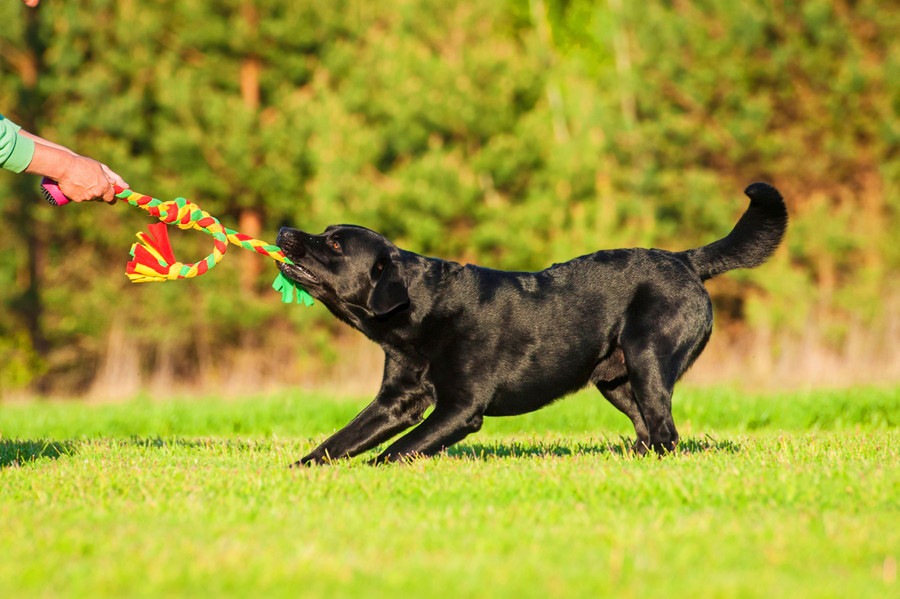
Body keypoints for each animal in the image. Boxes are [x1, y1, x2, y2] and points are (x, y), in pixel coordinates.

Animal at [276, 183, 788, 464]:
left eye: (335, 245)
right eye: (324, 233)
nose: (283, 230)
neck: (421, 312)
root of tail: (685, 260)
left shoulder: (461, 407)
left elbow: (397, 450)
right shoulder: (395, 402)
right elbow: (341, 440)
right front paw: (300, 470)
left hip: (648, 358)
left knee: (664, 430)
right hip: (617, 379)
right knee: (648, 428)